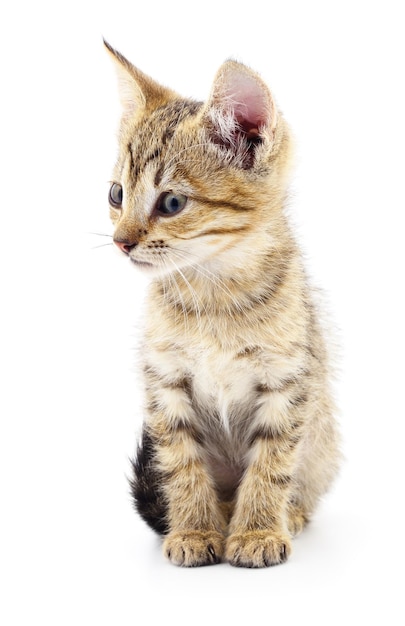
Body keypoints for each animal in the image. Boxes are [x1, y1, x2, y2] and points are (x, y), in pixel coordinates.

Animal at [103, 39, 338, 564]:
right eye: (116, 194)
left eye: (171, 203)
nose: (121, 242)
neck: (213, 294)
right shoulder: (165, 384)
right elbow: (181, 465)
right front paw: (193, 530)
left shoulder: (289, 382)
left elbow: (271, 464)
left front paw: (257, 531)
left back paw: (283, 516)